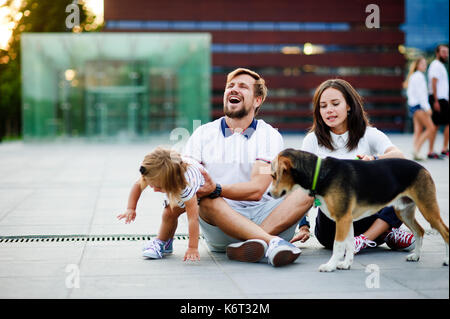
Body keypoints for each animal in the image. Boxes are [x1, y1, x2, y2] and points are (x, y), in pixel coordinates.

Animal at [268, 149, 448, 272]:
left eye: (274, 175)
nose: (269, 193)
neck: (320, 174)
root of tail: (422, 167)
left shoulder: (342, 219)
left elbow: (338, 246)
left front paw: (330, 266)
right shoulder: (347, 220)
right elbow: (348, 244)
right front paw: (346, 264)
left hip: (428, 209)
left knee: (445, 232)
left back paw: (446, 260)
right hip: (403, 211)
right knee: (420, 231)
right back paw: (416, 256)